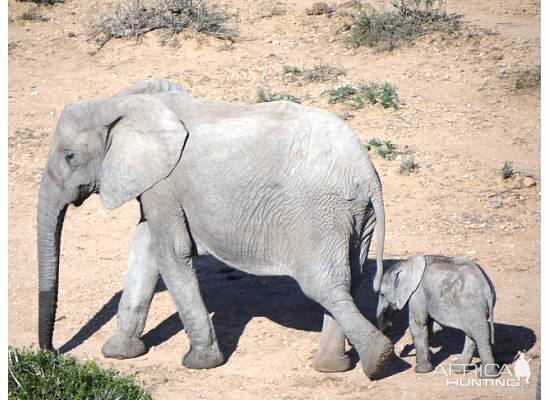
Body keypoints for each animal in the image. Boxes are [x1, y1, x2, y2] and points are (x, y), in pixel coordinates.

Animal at [36, 80, 394, 378]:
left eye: (70, 157)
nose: (51, 353)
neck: (126, 102)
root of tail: (368, 173)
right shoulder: (157, 185)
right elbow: (145, 249)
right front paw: (118, 354)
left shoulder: (165, 183)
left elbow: (170, 253)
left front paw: (199, 363)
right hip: (355, 216)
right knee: (349, 279)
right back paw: (333, 367)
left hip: (318, 214)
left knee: (323, 285)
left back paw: (377, 360)